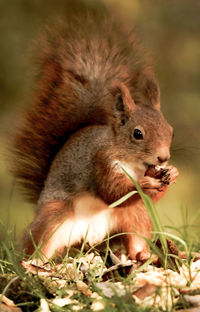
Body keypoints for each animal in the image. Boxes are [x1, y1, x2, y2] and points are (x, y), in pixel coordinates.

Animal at [10, 15, 180, 264]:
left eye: (171, 131)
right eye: (137, 134)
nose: (163, 157)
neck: (133, 162)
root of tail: (90, 237)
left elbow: (150, 198)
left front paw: (173, 173)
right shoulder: (101, 162)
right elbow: (112, 191)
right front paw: (144, 184)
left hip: (134, 215)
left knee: (135, 237)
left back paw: (143, 255)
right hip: (54, 215)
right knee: (39, 244)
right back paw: (34, 263)